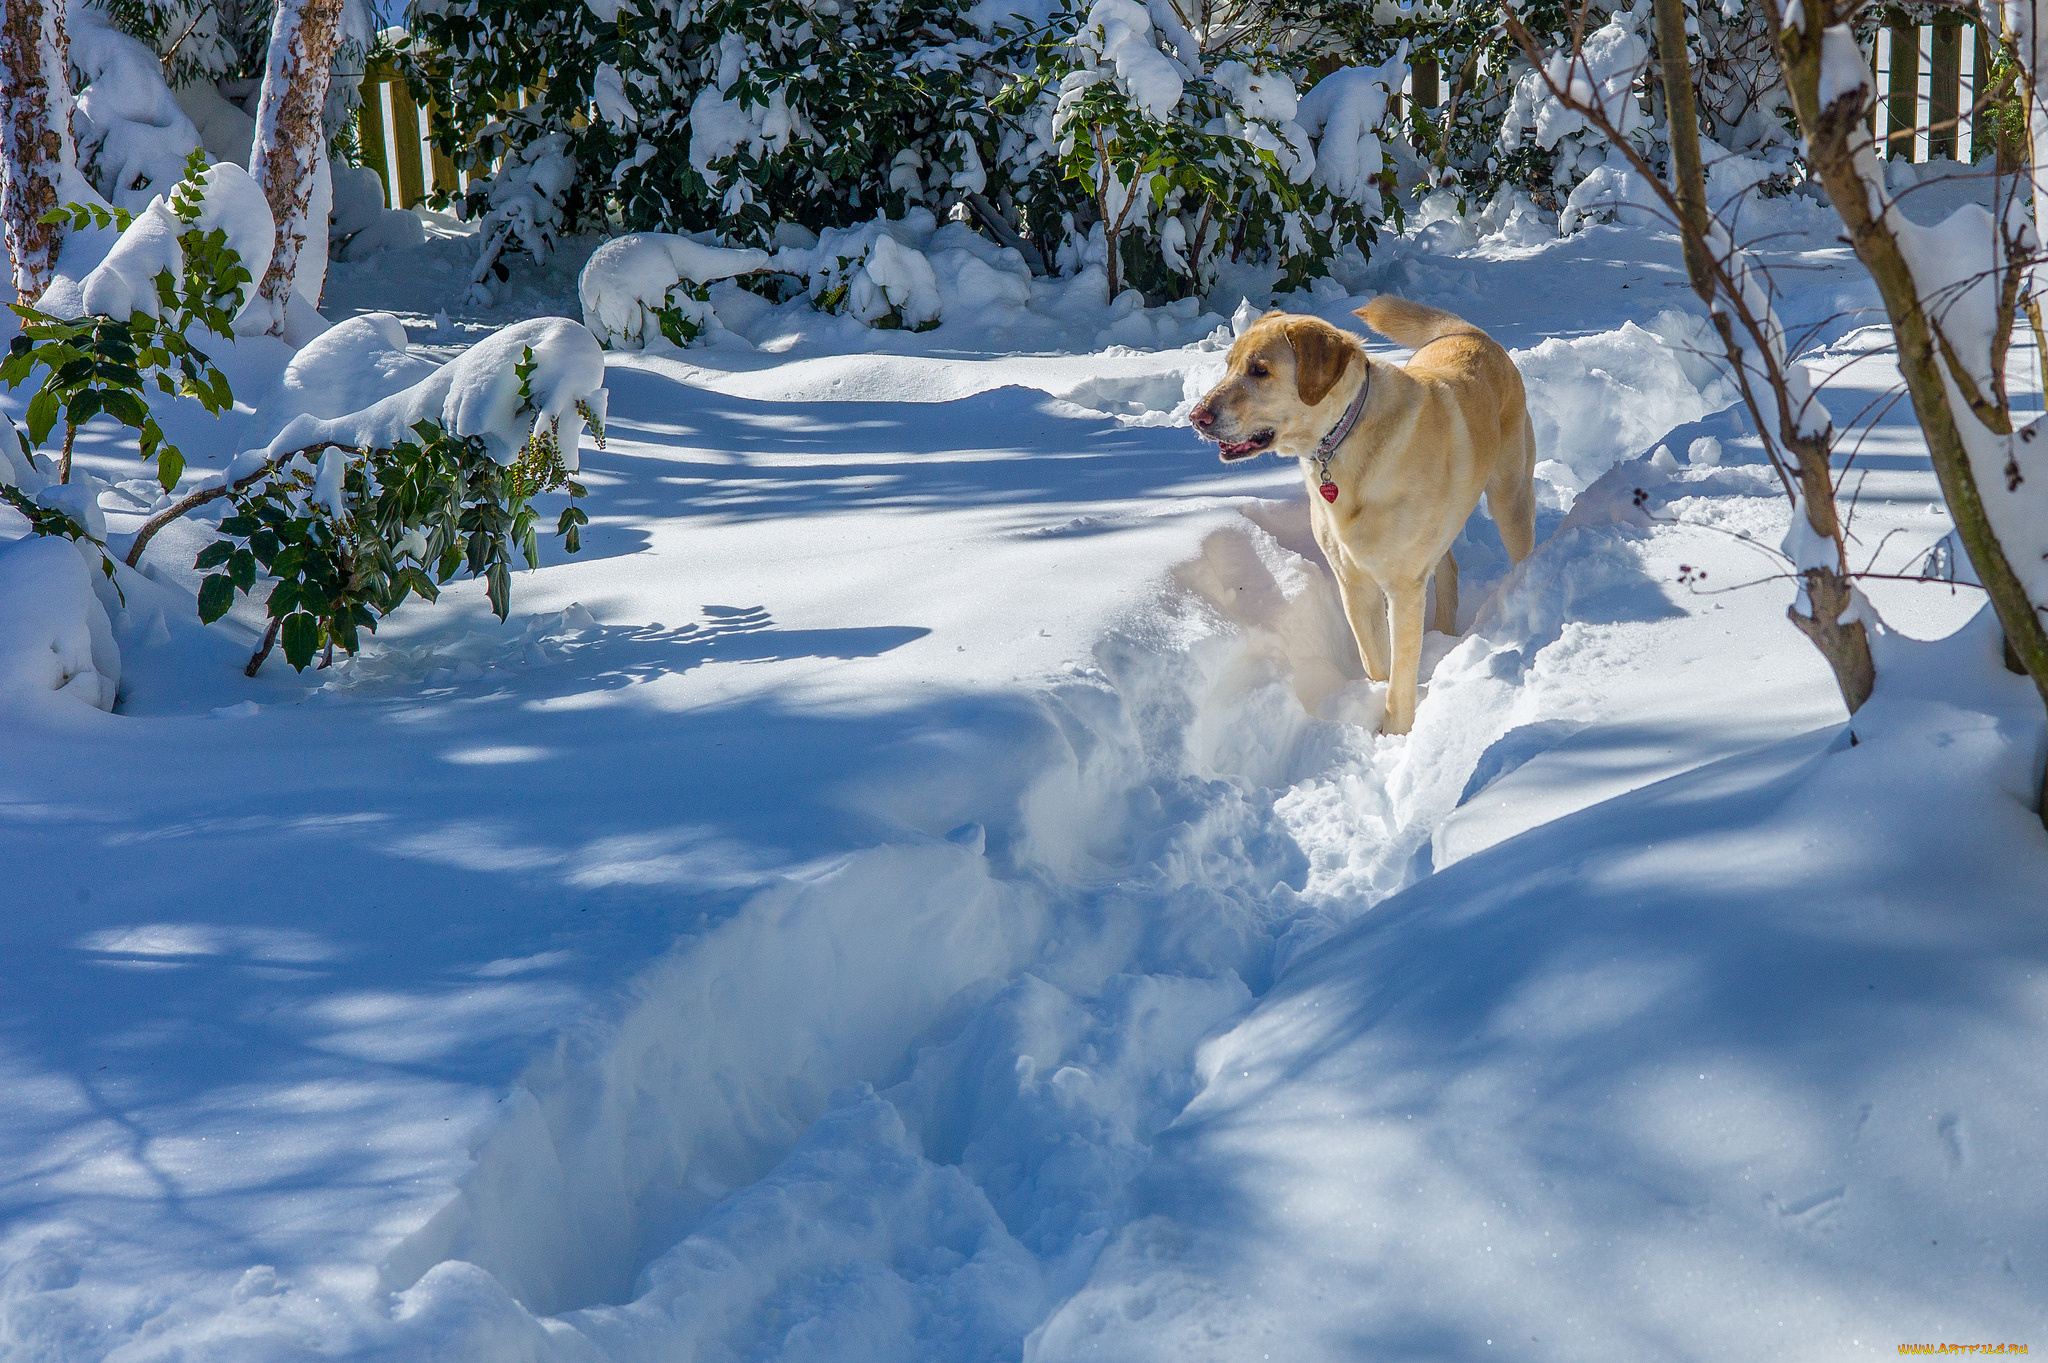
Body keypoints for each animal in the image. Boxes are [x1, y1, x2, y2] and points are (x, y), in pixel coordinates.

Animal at [1187, 292, 1540, 728]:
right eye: (1229, 365)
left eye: (1259, 370)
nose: (1196, 417)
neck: (1343, 439)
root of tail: (1471, 333)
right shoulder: (1353, 584)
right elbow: (1375, 663)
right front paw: (1372, 702)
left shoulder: (1403, 589)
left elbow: (1400, 679)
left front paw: (1395, 732)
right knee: (1449, 568)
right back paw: (1444, 637)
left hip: (1510, 498)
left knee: (1521, 551)